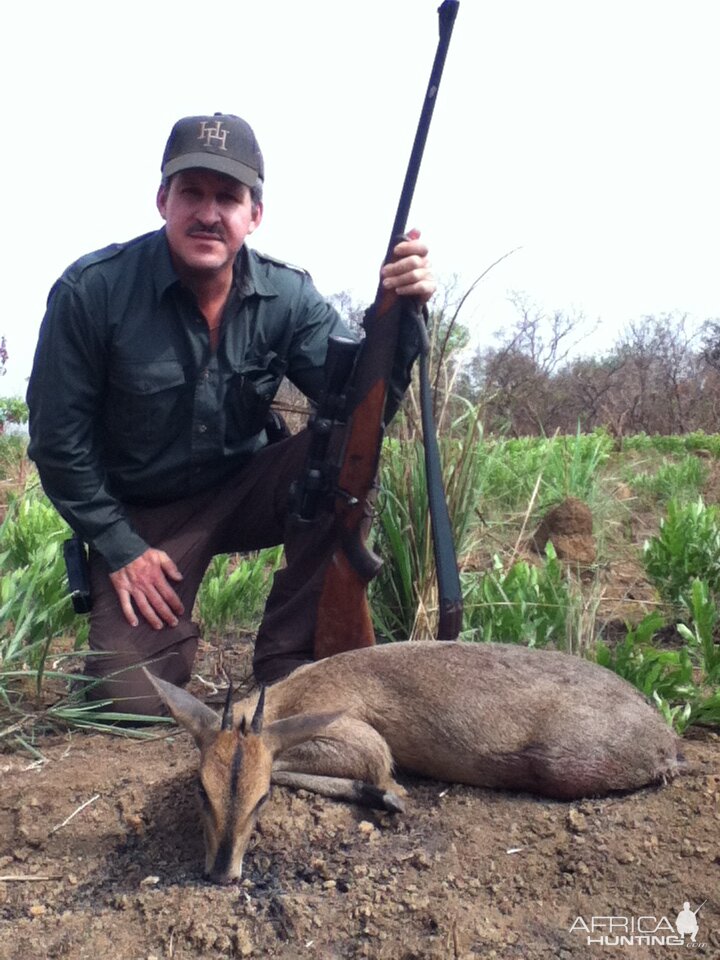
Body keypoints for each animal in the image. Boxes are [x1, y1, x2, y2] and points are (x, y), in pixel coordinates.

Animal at [143, 640, 684, 880]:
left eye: (262, 800)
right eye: (202, 789)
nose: (222, 872)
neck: (293, 695)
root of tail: (666, 741)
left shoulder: (364, 744)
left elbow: (365, 769)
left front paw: (389, 797)